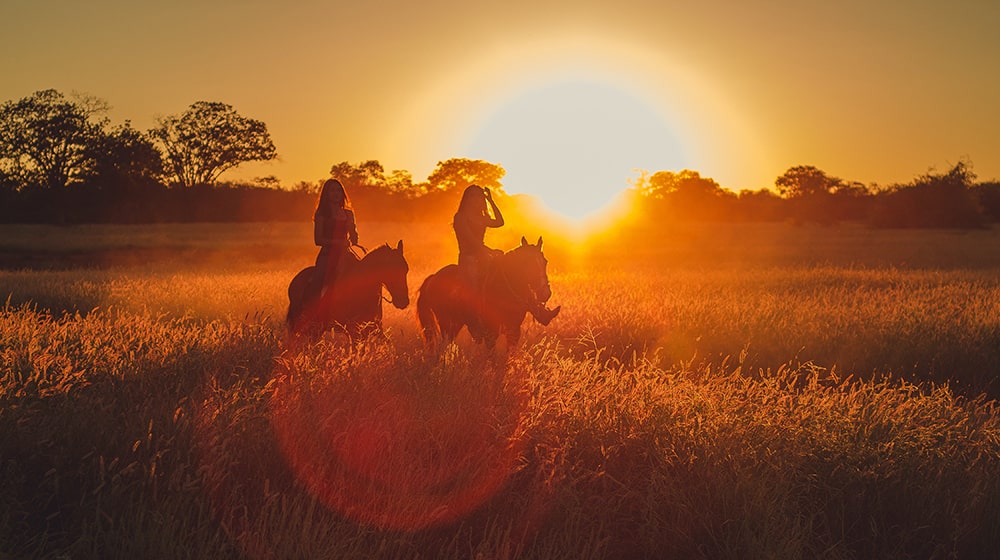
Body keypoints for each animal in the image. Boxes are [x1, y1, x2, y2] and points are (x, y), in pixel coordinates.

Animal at [416, 235, 552, 350]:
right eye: (527, 263)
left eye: (545, 261)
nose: (545, 293)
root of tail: (433, 278)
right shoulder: (491, 333)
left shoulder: (514, 332)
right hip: (446, 324)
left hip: (455, 324)